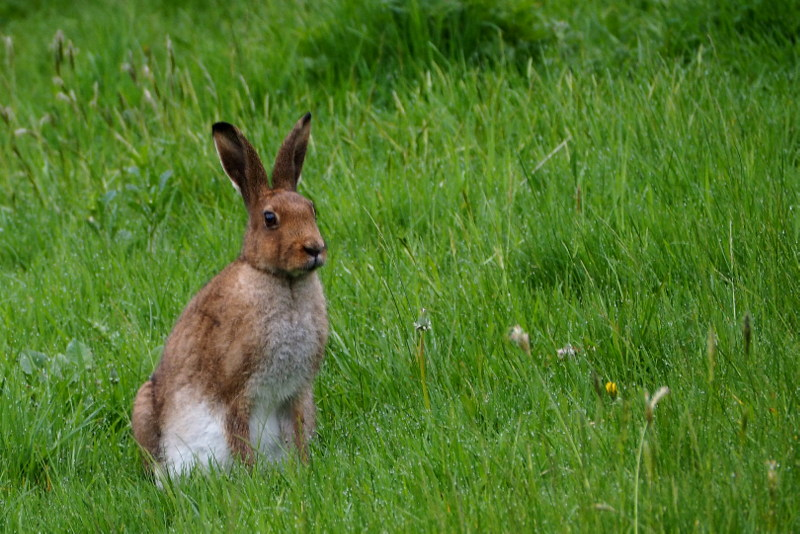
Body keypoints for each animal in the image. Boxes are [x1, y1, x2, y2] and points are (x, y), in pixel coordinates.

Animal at [132, 113, 328, 480]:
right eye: (270, 219)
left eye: (312, 209)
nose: (315, 249)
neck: (281, 281)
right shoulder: (237, 392)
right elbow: (239, 436)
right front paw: (250, 477)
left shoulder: (296, 393)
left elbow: (296, 431)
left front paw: (303, 468)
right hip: (145, 409)